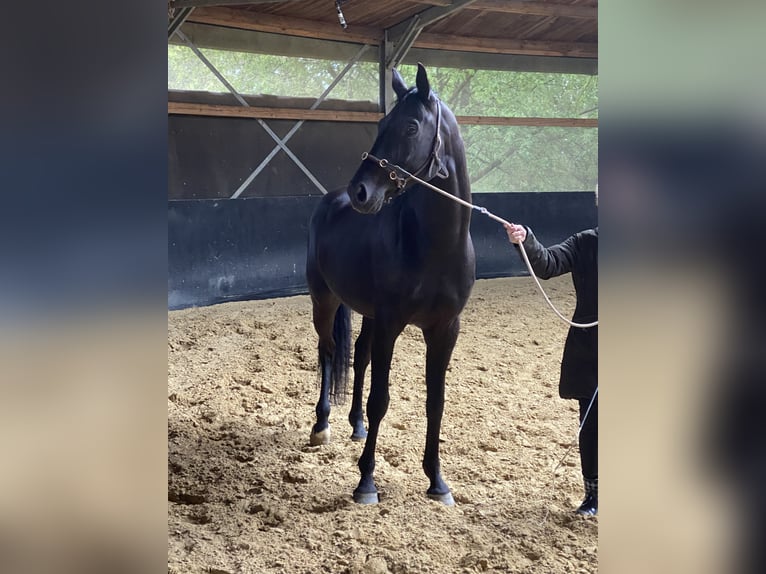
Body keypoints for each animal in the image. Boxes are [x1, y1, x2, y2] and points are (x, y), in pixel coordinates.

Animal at [304, 64, 474, 504]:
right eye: (381, 124)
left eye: (411, 126)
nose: (360, 192)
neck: (434, 247)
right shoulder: (391, 324)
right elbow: (381, 399)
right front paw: (366, 481)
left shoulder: (444, 329)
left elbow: (436, 402)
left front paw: (437, 481)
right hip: (324, 301)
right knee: (328, 352)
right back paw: (322, 426)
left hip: (366, 313)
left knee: (359, 356)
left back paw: (354, 424)